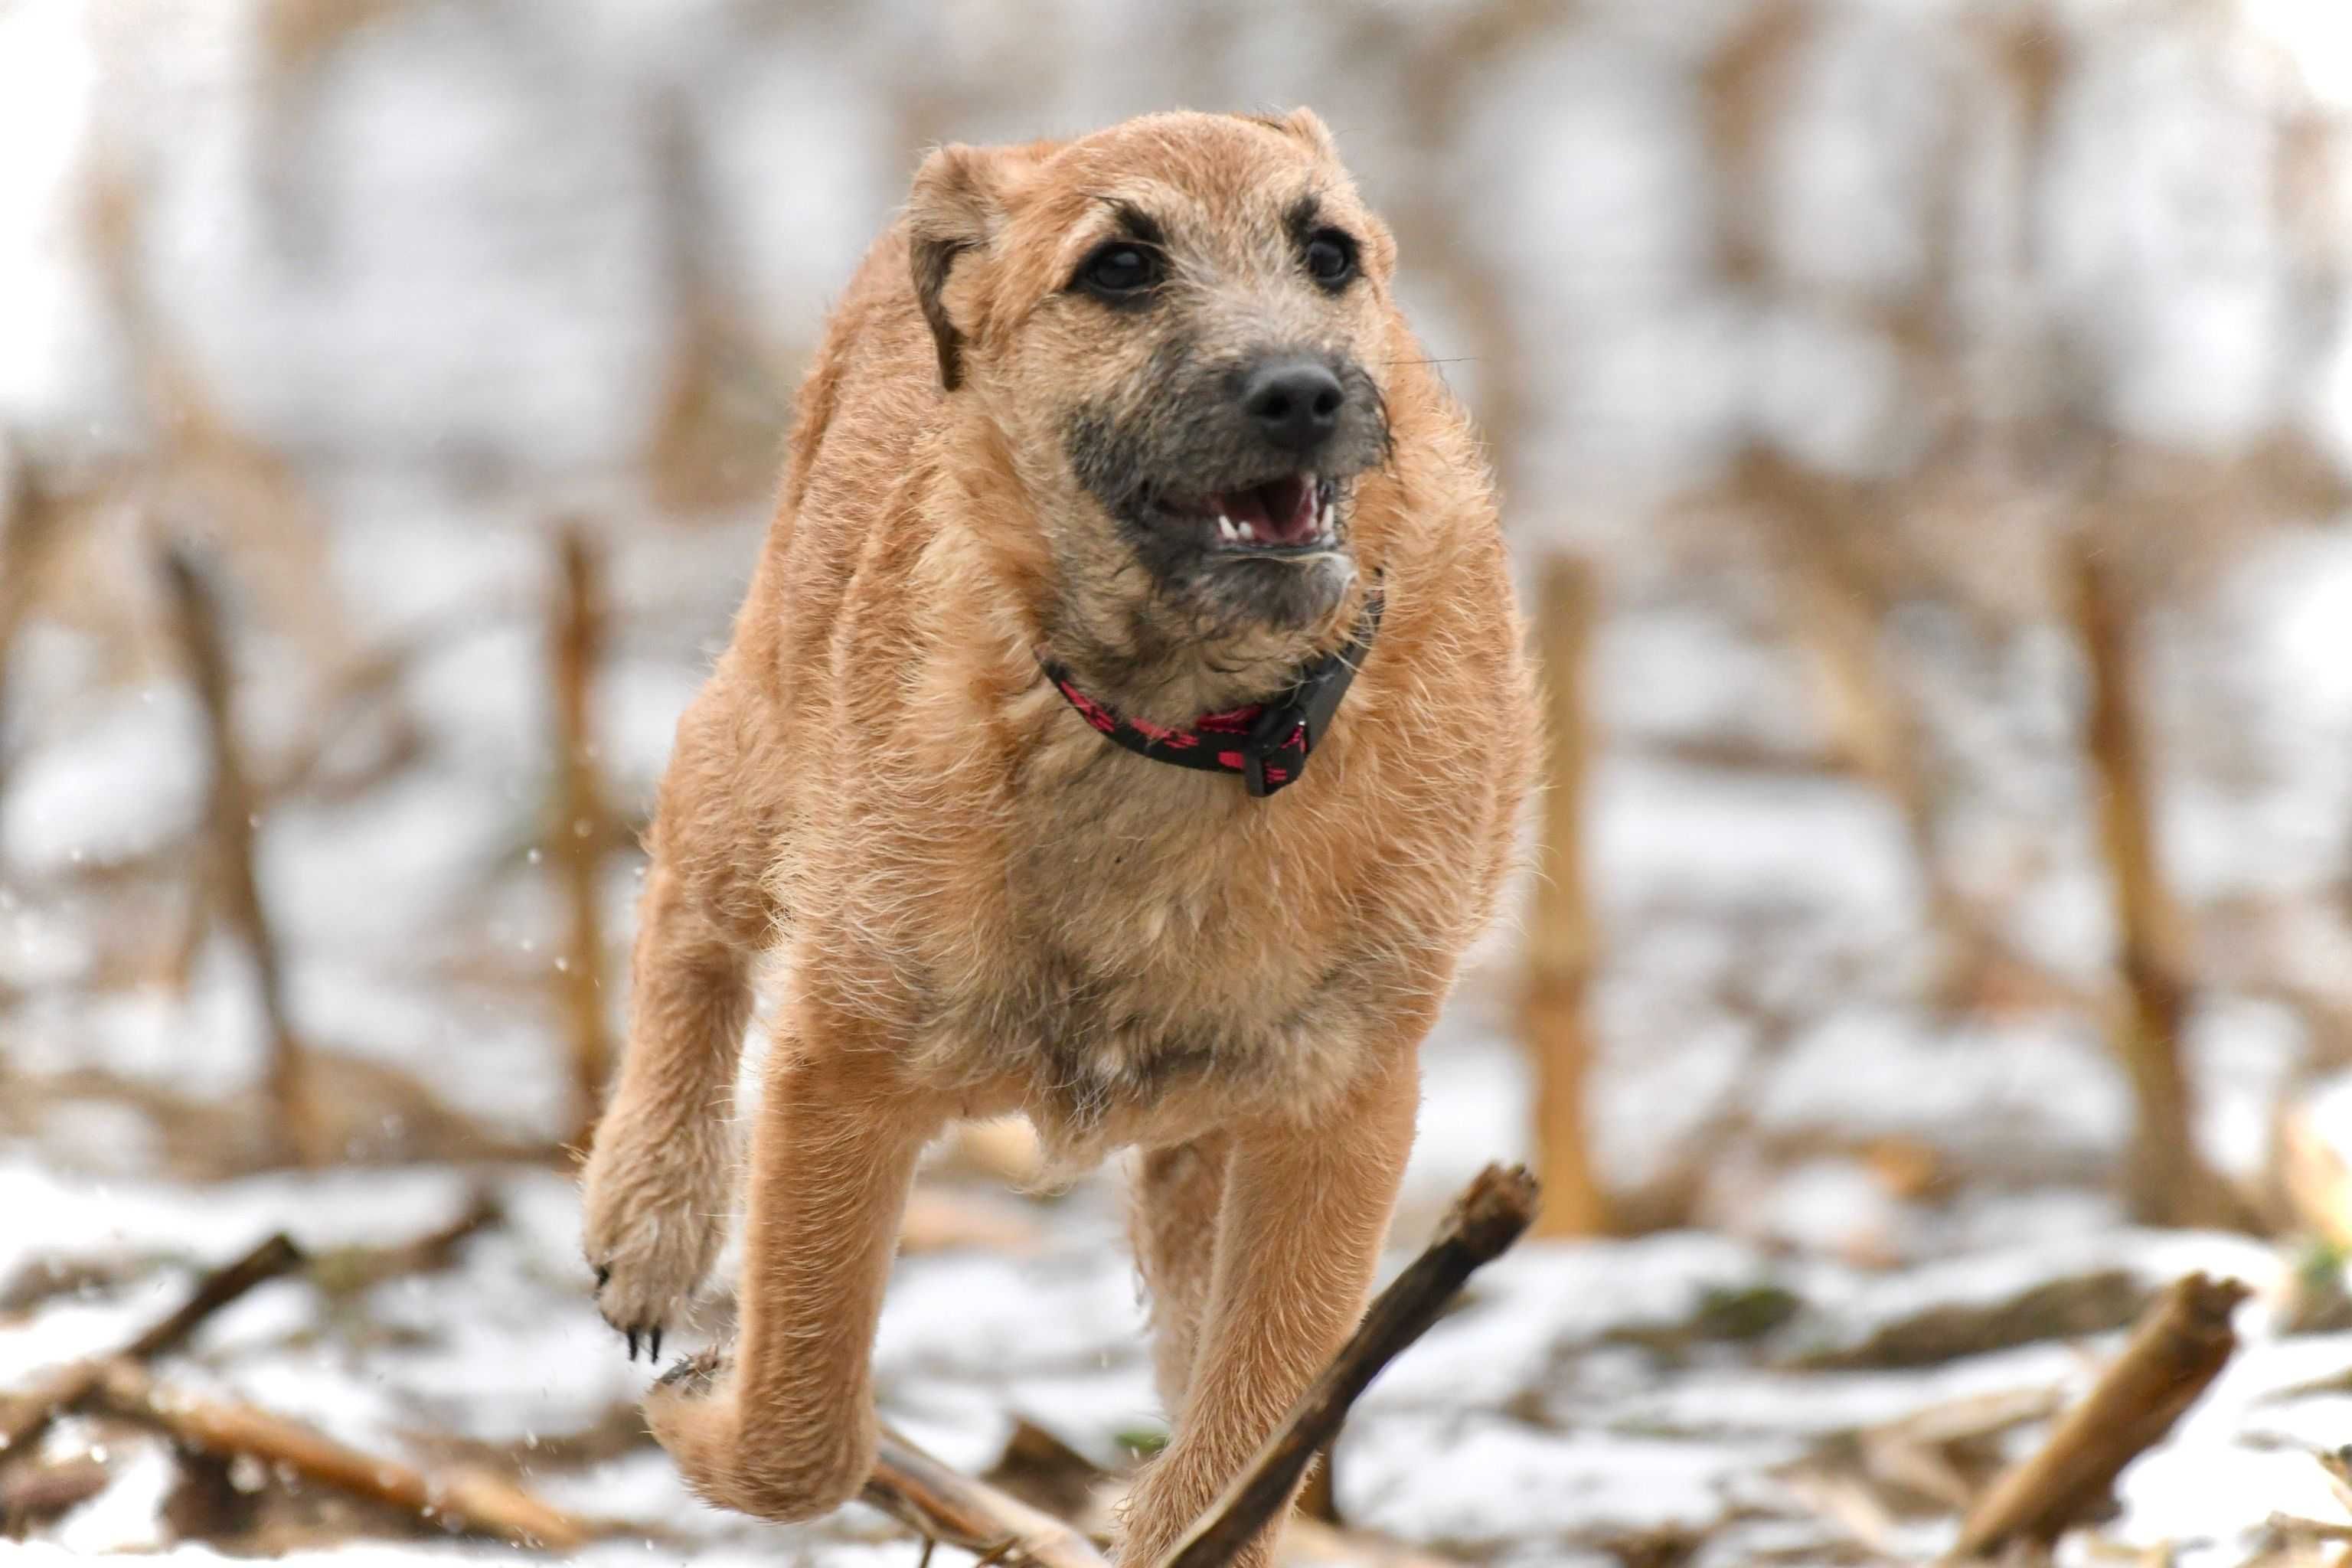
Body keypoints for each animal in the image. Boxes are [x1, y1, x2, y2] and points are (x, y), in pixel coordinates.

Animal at [583, 110, 1543, 1568]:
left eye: (1330, 253)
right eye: (1119, 268)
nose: (1302, 392)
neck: (1179, 727)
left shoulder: (1341, 1107)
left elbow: (1246, 1435)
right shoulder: (840, 1068)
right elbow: (803, 1425)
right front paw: (709, 1406)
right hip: (764, 734)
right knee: (687, 886)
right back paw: (648, 1216)